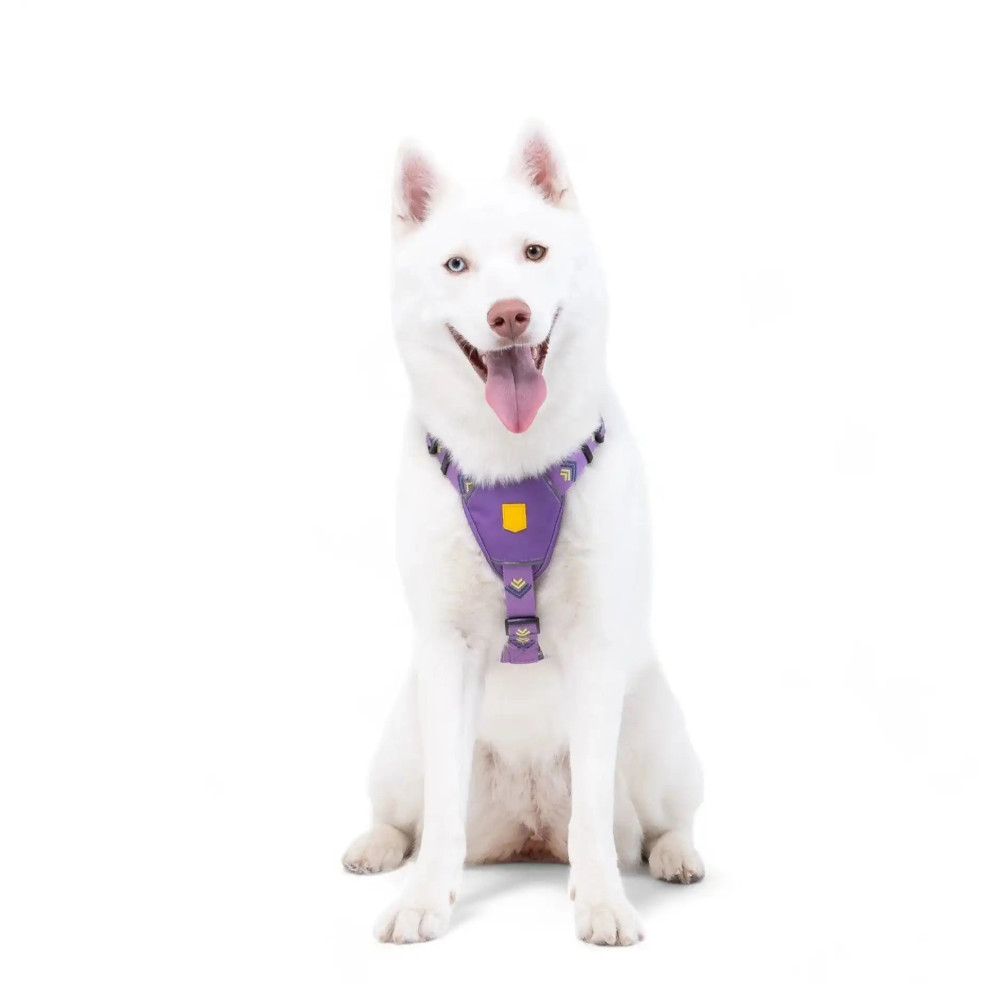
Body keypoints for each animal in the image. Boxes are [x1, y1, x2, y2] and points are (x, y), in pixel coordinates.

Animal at [341, 126, 704, 946]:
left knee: (657, 820)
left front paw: (602, 900)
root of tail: (530, 828)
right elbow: (440, 813)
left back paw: (674, 855)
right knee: (405, 813)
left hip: (658, 737)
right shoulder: (448, 652)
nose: (509, 314)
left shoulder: (596, 647)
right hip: (400, 744)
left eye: (535, 253)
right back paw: (377, 847)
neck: (511, 470)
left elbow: (595, 816)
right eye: (456, 265)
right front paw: (423, 899)